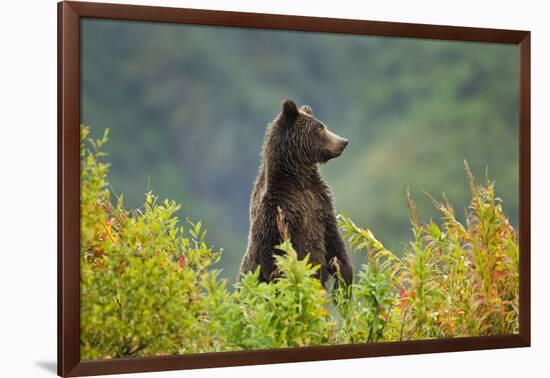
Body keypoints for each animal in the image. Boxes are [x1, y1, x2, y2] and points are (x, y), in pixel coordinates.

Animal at [240, 99, 354, 286]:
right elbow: (273, 252)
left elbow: (334, 240)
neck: (298, 178)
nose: (343, 141)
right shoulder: (277, 210)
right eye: (319, 128)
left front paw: (343, 278)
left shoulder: (320, 202)